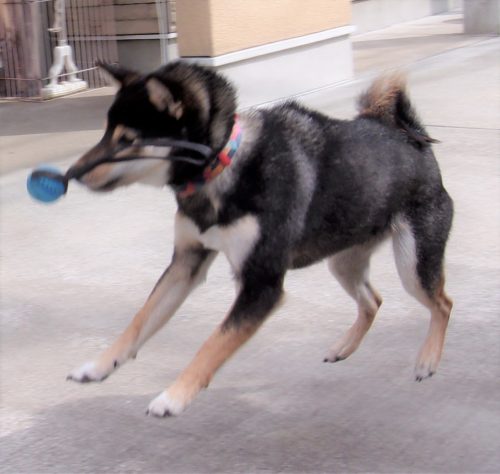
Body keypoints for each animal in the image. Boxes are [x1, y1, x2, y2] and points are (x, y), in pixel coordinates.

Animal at [66, 61, 453, 417]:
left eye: (128, 141)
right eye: (105, 133)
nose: (70, 174)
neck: (223, 166)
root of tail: (409, 135)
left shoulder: (260, 285)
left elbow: (212, 344)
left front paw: (174, 396)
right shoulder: (186, 262)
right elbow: (139, 320)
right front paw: (99, 366)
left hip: (412, 265)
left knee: (442, 304)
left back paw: (427, 360)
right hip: (344, 260)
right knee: (373, 301)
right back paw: (344, 347)